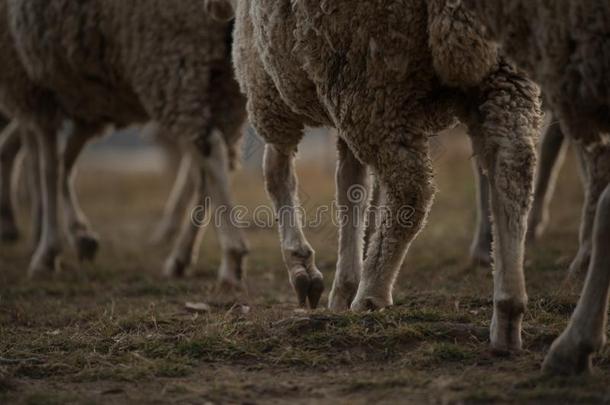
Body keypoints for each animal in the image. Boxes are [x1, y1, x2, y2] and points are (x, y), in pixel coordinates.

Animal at [0, 0, 247, 288]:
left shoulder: (32, 86)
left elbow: (47, 169)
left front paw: (46, 252)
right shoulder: (88, 104)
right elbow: (64, 162)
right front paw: (79, 236)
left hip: (169, 56)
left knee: (209, 150)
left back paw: (231, 256)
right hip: (224, 78)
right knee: (209, 163)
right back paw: (181, 256)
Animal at [226, 0, 540, 352]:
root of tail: (457, 8)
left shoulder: (261, 72)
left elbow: (277, 172)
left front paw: (304, 268)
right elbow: (352, 185)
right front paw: (344, 283)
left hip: (368, 73)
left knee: (411, 188)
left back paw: (371, 294)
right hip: (505, 75)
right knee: (513, 166)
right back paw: (508, 314)